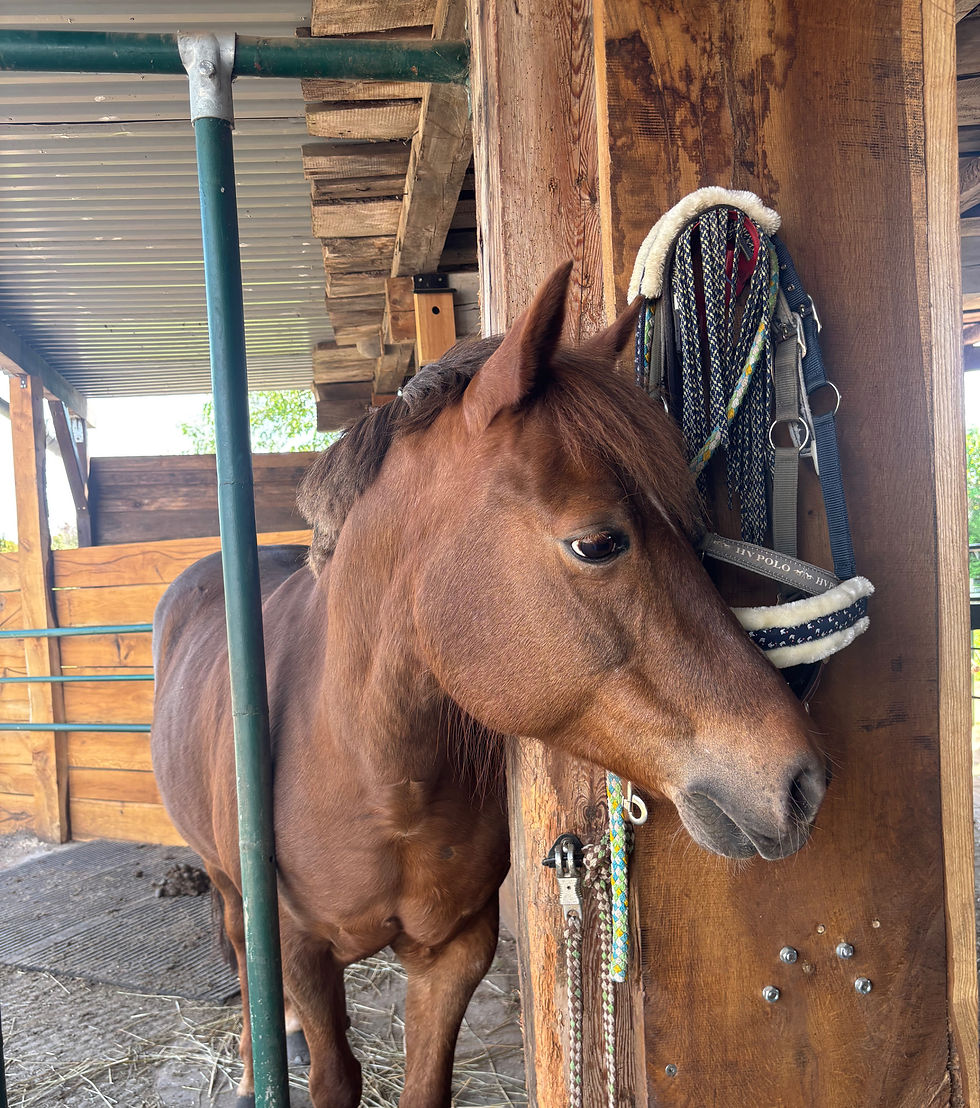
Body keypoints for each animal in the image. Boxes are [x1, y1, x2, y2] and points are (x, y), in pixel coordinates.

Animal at [150, 262, 827, 1108]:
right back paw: (251, 1069)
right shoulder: (298, 948)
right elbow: (331, 1073)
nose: (801, 781)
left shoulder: (454, 955)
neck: (367, 772)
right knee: (243, 961)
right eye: (598, 543)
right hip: (229, 886)